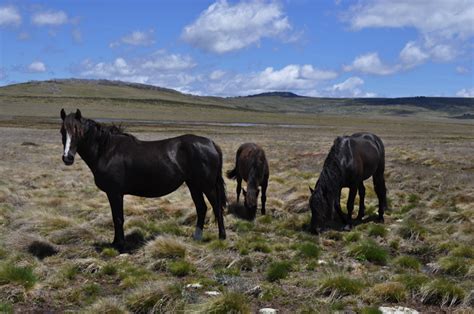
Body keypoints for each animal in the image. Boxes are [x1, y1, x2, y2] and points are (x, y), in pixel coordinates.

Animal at [60, 109, 227, 251]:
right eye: (62, 131)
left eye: (77, 130)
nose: (67, 158)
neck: (106, 151)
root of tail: (211, 143)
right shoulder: (113, 193)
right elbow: (116, 218)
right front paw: (115, 243)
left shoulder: (115, 193)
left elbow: (118, 218)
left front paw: (120, 246)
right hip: (194, 184)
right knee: (201, 208)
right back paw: (197, 237)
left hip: (207, 185)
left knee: (216, 208)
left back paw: (222, 237)